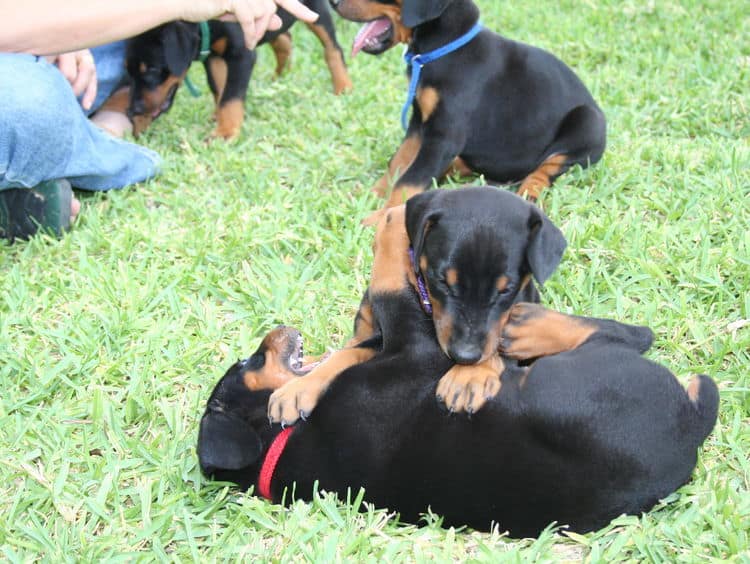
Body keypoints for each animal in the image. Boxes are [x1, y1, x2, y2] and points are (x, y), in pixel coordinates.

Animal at [125, 0, 354, 139]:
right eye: (129, 73)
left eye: (152, 70)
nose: (133, 110)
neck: (209, 24)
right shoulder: (214, 56)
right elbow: (218, 87)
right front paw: (218, 117)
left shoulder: (242, 55)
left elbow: (231, 96)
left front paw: (226, 132)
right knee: (283, 39)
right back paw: (280, 77)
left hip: (315, 11)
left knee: (332, 48)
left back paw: (343, 86)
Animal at [200, 272, 724, 532]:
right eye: (251, 360)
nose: (277, 329)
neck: (278, 442)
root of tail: (691, 428)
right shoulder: (417, 353)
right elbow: (393, 303)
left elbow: (358, 343)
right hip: (571, 377)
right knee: (627, 335)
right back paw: (529, 328)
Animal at [268, 187, 568, 420]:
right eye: (442, 281)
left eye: (506, 290)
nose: (465, 357)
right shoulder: (374, 337)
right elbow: (344, 354)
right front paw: (299, 389)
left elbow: (500, 345)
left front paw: (469, 376)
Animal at [332, 0, 608, 218]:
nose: (333, 2)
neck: (443, 49)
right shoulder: (419, 122)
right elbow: (399, 162)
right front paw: (374, 194)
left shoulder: (444, 134)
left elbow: (410, 179)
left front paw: (380, 217)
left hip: (588, 122)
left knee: (547, 169)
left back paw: (529, 190)